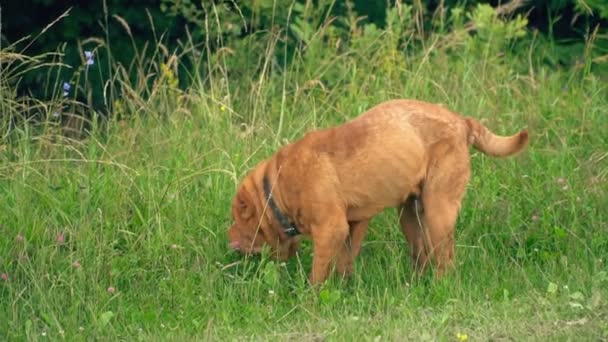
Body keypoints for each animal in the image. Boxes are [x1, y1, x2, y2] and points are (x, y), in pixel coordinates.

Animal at [228, 99, 528, 284]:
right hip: (410, 216)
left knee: (446, 262)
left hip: (438, 213)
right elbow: (345, 261)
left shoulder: (331, 228)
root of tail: (462, 121)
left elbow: (318, 273)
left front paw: (310, 300)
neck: (276, 189)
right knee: (422, 256)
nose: (228, 238)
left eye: (239, 217)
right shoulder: (354, 223)